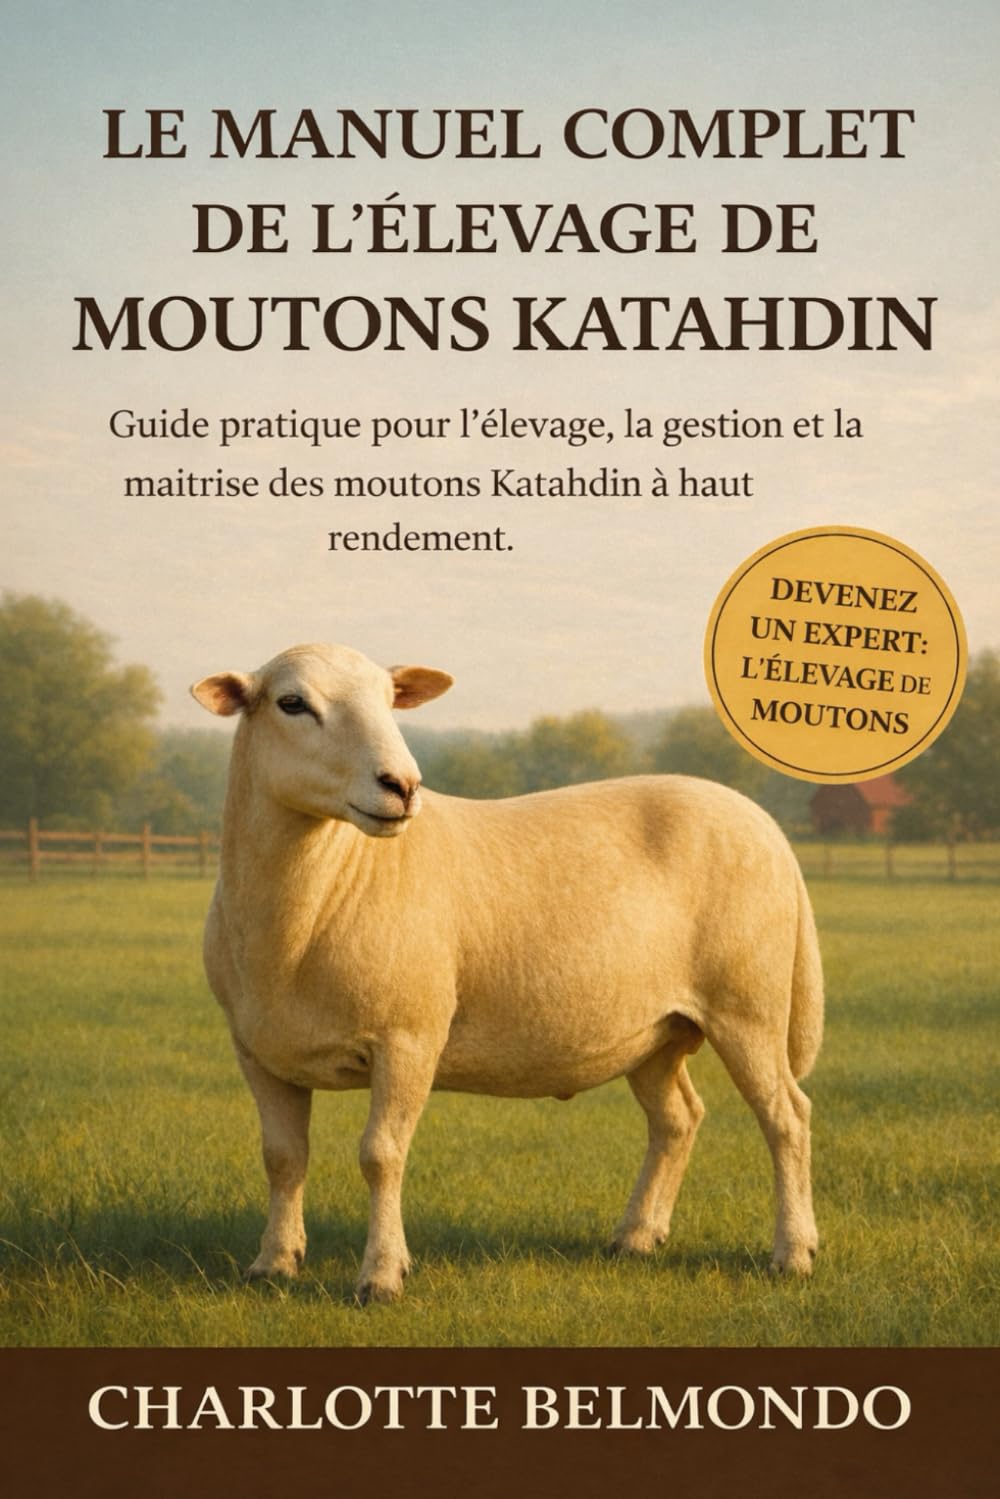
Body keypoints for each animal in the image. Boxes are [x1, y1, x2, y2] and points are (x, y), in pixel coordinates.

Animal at [192, 641, 822, 1304]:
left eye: (390, 701)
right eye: (291, 703)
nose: (403, 785)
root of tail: (769, 828)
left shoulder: (409, 1037)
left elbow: (381, 1155)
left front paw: (382, 1275)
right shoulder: (259, 1051)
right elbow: (282, 1157)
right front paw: (273, 1263)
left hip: (747, 1003)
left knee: (786, 1117)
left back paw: (793, 1253)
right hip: (655, 1029)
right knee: (677, 1119)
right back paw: (637, 1236)